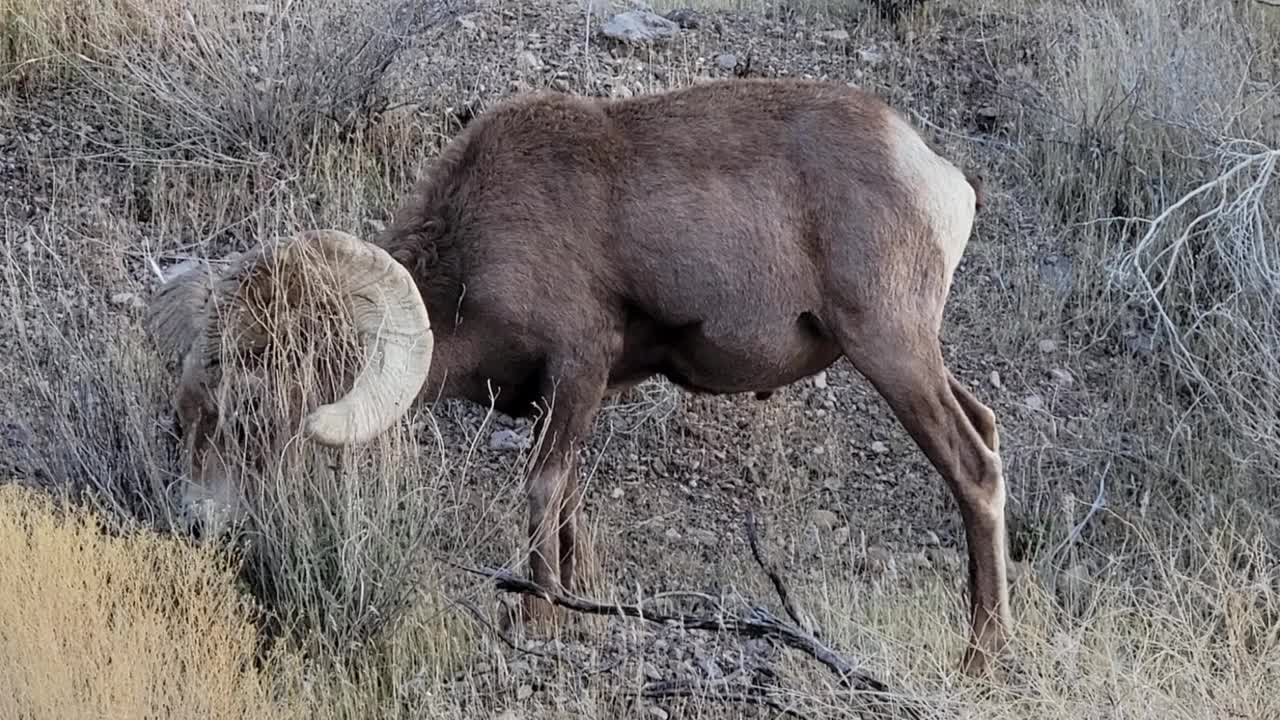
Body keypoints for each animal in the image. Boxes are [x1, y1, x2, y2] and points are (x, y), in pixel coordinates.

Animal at [147, 77, 1008, 671]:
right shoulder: (564, 400)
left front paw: (540, 618)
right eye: (187, 412)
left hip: (890, 350)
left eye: (251, 412)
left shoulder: (577, 370)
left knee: (973, 469)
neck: (474, 259)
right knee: (987, 429)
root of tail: (941, 178)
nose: (197, 523)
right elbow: (567, 506)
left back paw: (983, 654)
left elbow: (542, 489)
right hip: (913, 355)